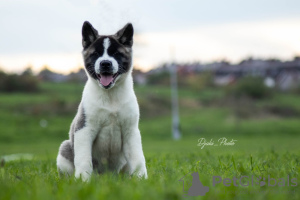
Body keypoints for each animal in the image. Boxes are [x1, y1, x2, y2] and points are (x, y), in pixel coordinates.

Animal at [56, 21, 148, 181]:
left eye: (116, 54)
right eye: (95, 54)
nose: (105, 63)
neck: (110, 96)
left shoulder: (131, 131)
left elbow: (138, 159)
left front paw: (142, 179)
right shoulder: (84, 129)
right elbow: (84, 159)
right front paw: (83, 180)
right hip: (65, 148)